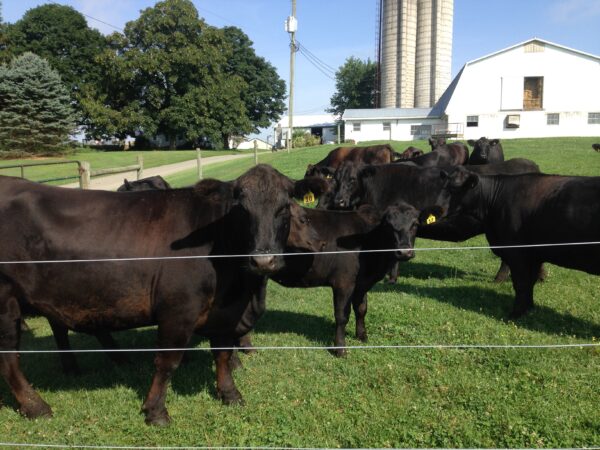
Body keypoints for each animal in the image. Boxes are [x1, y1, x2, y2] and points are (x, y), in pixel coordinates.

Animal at [270, 202, 440, 356]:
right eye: (388, 225)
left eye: (415, 224)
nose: (404, 252)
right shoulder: (343, 282)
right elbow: (342, 316)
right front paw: (340, 349)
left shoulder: (362, 284)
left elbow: (361, 309)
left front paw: (362, 336)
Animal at [436, 167, 600, 318]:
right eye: (443, 186)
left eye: (454, 189)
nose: (437, 208)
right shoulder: (534, 254)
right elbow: (529, 283)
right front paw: (529, 308)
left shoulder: (517, 252)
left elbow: (521, 283)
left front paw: (515, 314)